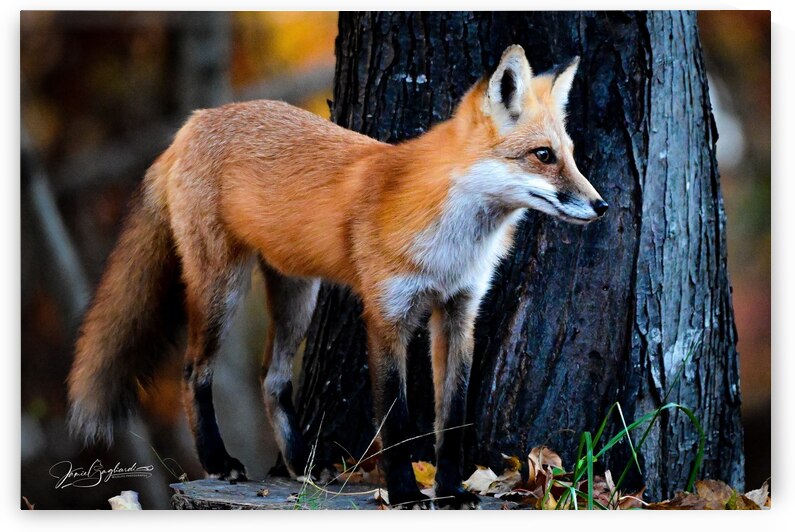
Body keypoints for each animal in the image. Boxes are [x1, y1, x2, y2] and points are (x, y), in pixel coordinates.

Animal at [67, 45, 607, 509]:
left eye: (570, 154)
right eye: (542, 155)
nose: (602, 206)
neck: (452, 245)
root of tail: (195, 121)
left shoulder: (459, 312)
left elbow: (450, 419)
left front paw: (451, 491)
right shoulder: (386, 314)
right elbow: (395, 420)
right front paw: (406, 494)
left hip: (298, 293)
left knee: (272, 378)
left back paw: (301, 465)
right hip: (222, 285)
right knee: (193, 369)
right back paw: (219, 461)